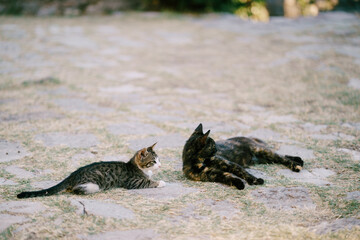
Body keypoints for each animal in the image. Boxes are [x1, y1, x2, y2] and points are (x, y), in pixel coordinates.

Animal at [16, 142, 163, 199]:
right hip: (93, 183)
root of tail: (73, 174)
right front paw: (161, 182)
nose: (160, 166)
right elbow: (147, 182)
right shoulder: (132, 182)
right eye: (153, 161)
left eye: (159, 160)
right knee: (75, 189)